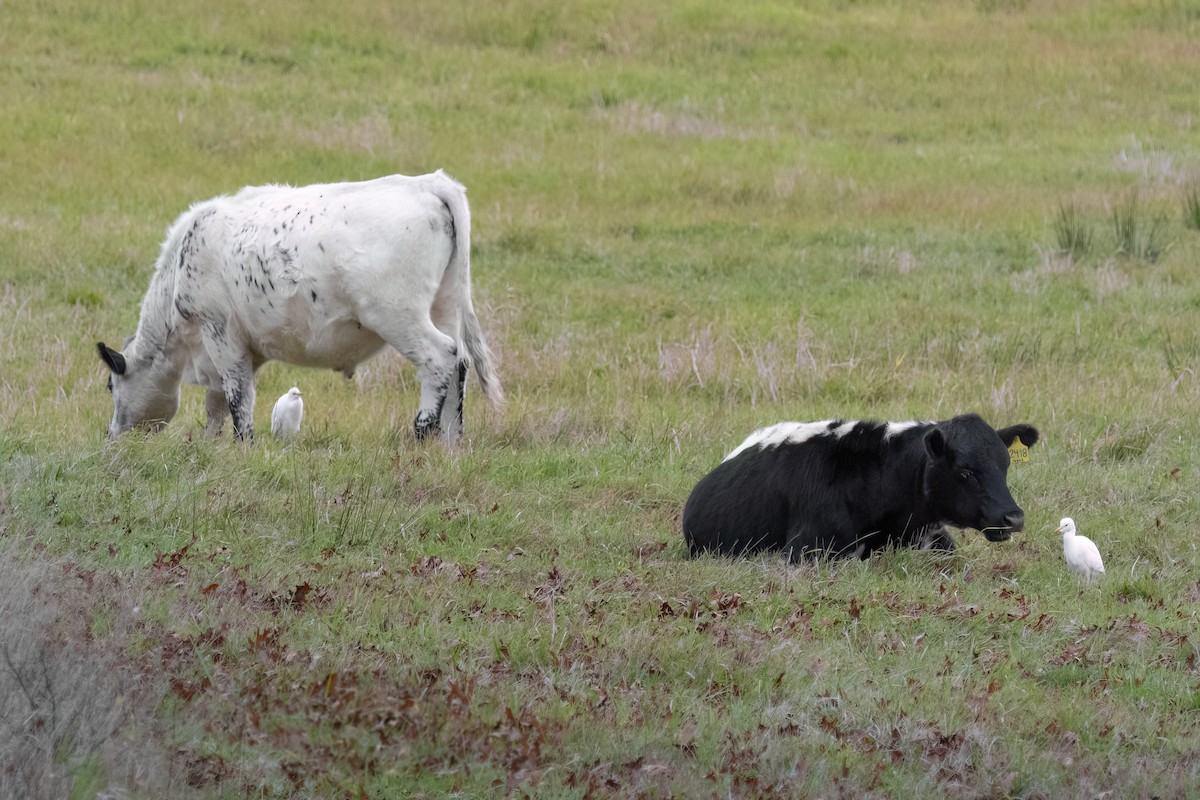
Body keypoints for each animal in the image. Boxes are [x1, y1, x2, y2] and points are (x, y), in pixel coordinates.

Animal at [96, 171, 502, 442]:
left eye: (111, 385)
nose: (113, 436)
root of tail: (427, 184)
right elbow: (218, 403)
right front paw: (211, 445)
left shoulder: (220, 332)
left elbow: (237, 399)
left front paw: (242, 447)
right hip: (445, 306)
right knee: (460, 364)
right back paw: (450, 442)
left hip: (399, 317)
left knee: (439, 358)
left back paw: (421, 433)